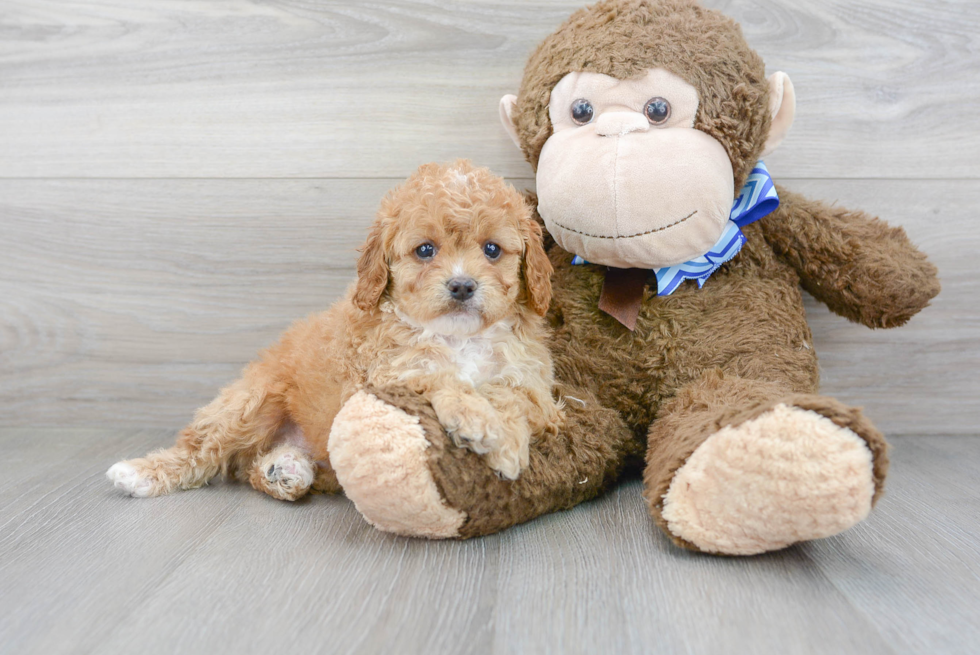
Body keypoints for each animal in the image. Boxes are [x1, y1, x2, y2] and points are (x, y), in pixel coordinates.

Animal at [107, 160, 560, 502]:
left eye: (492, 249)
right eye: (425, 250)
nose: (462, 286)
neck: (458, 337)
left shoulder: (535, 387)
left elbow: (511, 396)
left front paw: (505, 442)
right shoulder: (383, 372)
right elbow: (436, 374)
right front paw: (477, 420)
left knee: (254, 467)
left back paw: (284, 469)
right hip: (253, 400)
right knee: (204, 451)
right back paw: (143, 472)